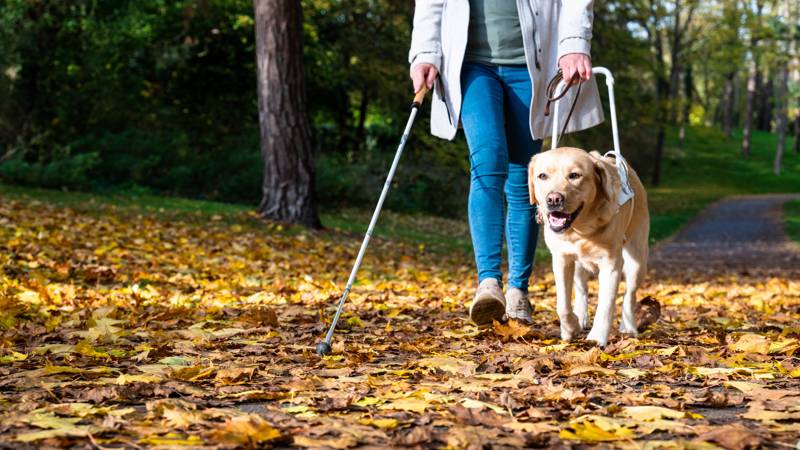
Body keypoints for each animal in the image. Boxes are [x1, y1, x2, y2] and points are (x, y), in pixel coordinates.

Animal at [532, 147, 648, 344]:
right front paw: (570, 328)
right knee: (581, 291)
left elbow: (606, 304)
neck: (580, 231)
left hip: (636, 261)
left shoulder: (611, 265)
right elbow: (562, 305)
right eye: (542, 176)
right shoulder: (561, 260)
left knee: (629, 295)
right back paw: (580, 317)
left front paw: (597, 337)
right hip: (579, 267)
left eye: (574, 175)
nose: (553, 199)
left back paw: (628, 327)